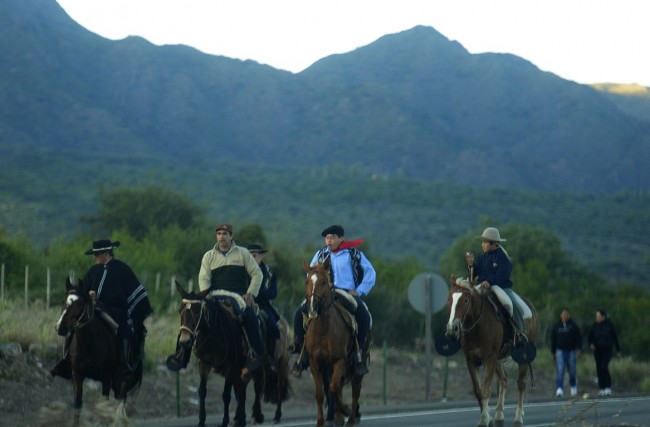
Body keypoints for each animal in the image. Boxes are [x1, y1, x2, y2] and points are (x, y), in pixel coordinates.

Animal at [54, 278, 143, 422]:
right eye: (63, 301)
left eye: (79, 304)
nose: (60, 328)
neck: (89, 344)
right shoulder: (77, 375)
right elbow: (77, 406)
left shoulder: (106, 377)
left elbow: (104, 408)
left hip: (123, 380)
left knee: (120, 404)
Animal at [172, 280, 288, 427]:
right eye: (179, 310)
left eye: (197, 311)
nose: (184, 341)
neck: (214, 333)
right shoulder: (204, 363)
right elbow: (202, 391)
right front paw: (201, 421)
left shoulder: (230, 366)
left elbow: (226, 395)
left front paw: (225, 421)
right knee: (243, 389)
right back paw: (241, 418)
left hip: (269, 364)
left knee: (265, 386)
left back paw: (261, 415)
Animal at [302, 260, 368, 427]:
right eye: (307, 281)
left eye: (324, 282)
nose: (312, 307)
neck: (323, 330)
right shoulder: (315, 363)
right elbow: (321, 393)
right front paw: (320, 421)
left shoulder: (339, 361)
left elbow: (333, 388)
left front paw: (344, 409)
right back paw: (337, 418)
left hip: (357, 365)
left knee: (355, 390)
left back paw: (351, 419)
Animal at [440, 278, 536, 427]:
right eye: (450, 299)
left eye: (465, 300)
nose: (452, 329)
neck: (478, 325)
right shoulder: (471, 360)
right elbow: (478, 391)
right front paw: (487, 418)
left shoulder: (489, 358)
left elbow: (485, 391)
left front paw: (484, 419)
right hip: (498, 359)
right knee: (503, 380)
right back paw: (499, 415)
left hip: (522, 358)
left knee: (521, 383)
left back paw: (518, 418)